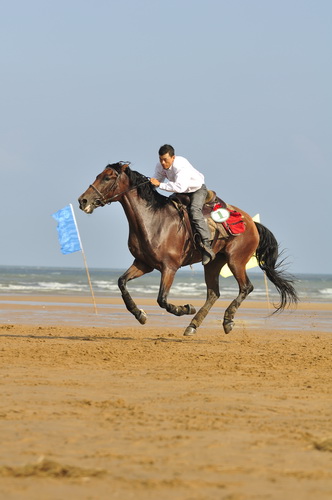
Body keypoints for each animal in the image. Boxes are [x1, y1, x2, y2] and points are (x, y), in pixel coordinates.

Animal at [78, 162, 298, 336]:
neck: (153, 220)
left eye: (107, 177)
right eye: (98, 175)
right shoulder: (143, 264)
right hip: (213, 263)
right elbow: (122, 283)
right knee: (213, 293)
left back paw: (227, 321)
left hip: (236, 260)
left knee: (246, 287)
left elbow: (162, 299)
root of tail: (251, 223)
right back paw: (192, 326)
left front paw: (186, 308)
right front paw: (140, 314)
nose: (83, 200)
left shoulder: (169, 268)